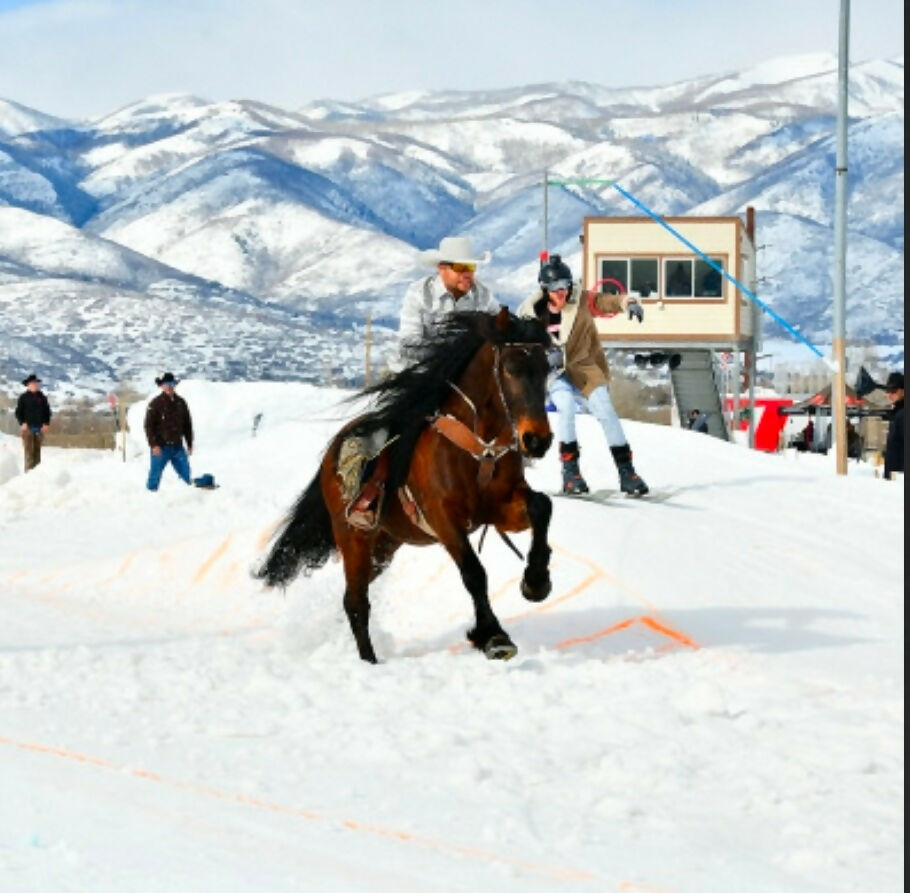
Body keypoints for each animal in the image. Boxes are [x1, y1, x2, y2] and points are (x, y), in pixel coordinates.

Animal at [255, 307, 555, 663]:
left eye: (547, 369)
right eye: (511, 368)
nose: (537, 440)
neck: (477, 450)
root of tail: (332, 453)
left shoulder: (502, 509)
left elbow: (542, 506)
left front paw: (536, 582)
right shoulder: (444, 520)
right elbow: (473, 572)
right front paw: (493, 636)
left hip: (385, 545)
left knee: (354, 593)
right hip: (353, 537)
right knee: (356, 600)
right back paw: (369, 661)